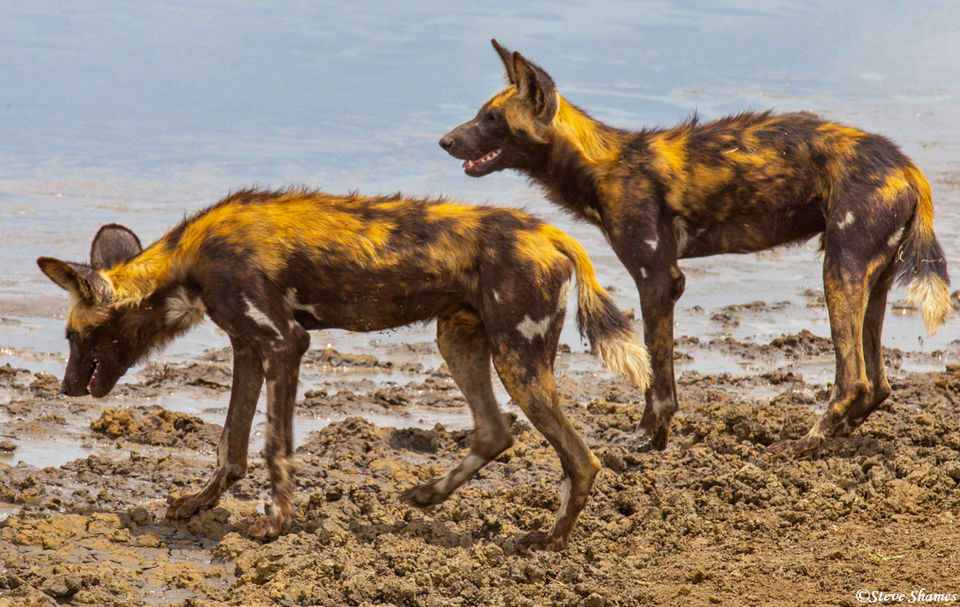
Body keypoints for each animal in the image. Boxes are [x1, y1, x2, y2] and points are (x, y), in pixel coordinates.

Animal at [37, 186, 652, 552]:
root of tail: (552, 232)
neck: (188, 260)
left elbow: (273, 446)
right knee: (496, 431)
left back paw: (548, 541)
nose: (66, 387)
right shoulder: (247, 348)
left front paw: (275, 525)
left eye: (73, 336)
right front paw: (196, 504)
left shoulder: (285, 343)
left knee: (583, 459)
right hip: (459, 342)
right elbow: (231, 446)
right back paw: (426, 497)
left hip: (517, 360)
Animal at [440, 39, 952, 456]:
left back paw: (803, 443)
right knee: (879, 384)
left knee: (854, 381)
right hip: (872, 281)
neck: (602, 163)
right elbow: (658, 372)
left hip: (838, 273)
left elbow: (657, 380)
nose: (444, 140)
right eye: (480, 113)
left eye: (492, 119)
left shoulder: (657, 280)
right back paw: (837, 434)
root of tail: (907, 167)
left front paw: (648, 439)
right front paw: (655, 438)